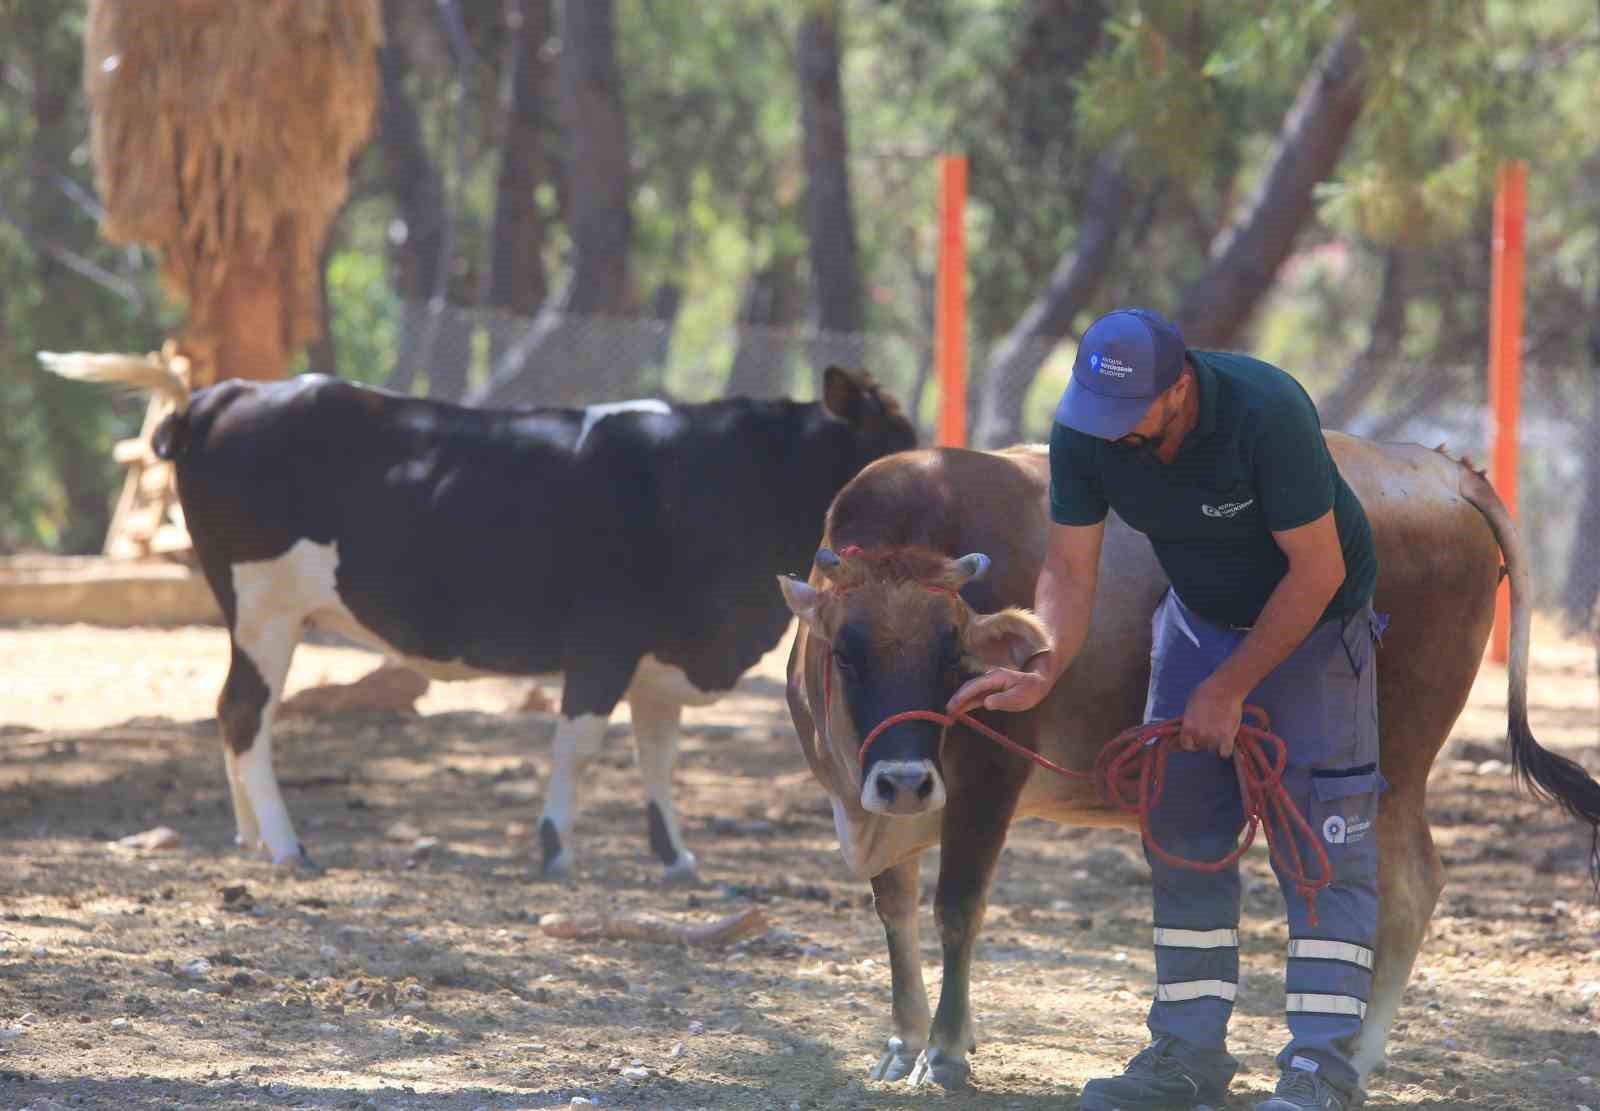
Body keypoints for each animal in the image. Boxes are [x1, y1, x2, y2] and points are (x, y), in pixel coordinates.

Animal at [40, 355, 915, 877]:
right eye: (885, 451)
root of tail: (227, 391)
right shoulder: (602, 643)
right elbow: (578, 747)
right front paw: (554, 846)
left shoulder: (660, 658)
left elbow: (657, 756)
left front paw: (674, 856)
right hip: (266, 610)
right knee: (243, 711)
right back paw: (287, 844)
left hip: (253, 615)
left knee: (233, 713)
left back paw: (254, 836)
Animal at [777, 438, 1600, 1094]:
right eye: (846, 648)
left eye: (952, 651)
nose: (905, 779)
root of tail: (1440, 469)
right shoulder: (874, 801)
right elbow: (895, 909)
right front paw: (904, 1040)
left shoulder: (986, 779)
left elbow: (955, 908)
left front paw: (945, 1052)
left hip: (1388, 761)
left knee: (1406, 887)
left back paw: (1360, 1053)